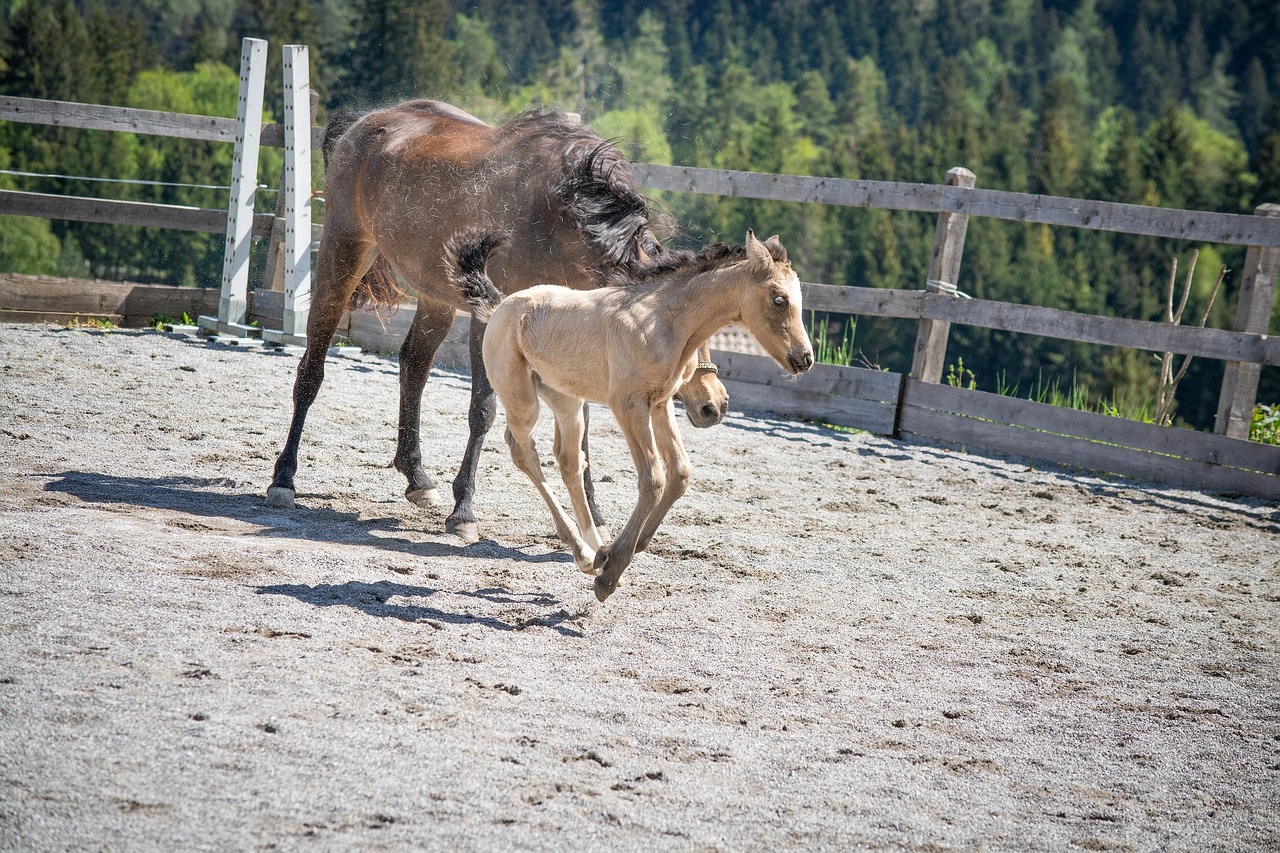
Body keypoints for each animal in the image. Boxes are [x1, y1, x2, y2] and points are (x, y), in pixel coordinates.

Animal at [264, 99, 729, 543]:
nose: (715, 405)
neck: (561, 222)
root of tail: (366, 122)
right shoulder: (490, 320)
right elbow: (483, 409)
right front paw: (464, 512)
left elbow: (581, 427)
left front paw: (594, 516)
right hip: (344, 252)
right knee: (313, 365)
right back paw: (284, 479)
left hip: (435, 292)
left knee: (413, 364)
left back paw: (417, 478)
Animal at [451, 229, 814, 601]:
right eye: (779, 299)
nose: (805, 359)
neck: (663, 322)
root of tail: (501, 306)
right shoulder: (628, 405)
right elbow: (653, 479)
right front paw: (611, 571)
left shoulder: (660, 404)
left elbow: (680, 472)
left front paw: (618, 552)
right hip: (522, 401)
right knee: (522, 451)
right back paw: (583, 551)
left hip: (568, 402)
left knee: (569, 462)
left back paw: (592, 552)